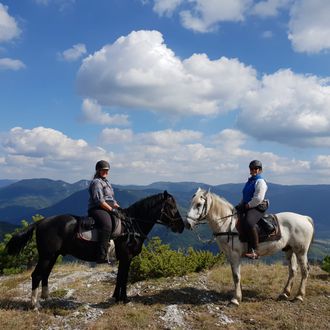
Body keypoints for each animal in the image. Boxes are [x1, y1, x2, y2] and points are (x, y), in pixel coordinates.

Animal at [5, 189, 184, 308]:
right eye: (172, 207)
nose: (182, 227)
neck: (131, 225)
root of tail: (41, 221)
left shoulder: (123, 259)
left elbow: (120, 277)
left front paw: (116, 297)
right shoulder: (126, 258)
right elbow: (124, 278)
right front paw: (124, 299)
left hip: (52, 256)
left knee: (45, 274)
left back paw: (46, 298)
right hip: (46, 256)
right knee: (36, 275)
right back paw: (35, 304)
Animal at [186, 188, 314, 306]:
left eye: (199, 204)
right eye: (191, 202)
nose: (187, 224)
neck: (227, 224)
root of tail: (305, 218)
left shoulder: (235, 255)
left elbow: (236, 276)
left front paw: (235, 299)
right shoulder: (230, 256)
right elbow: (236, 275)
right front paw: (239, 295)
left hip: (301, 251)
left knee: (305, 270)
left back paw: (299, 296)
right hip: (289, 250)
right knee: (292, 270)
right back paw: (284, 293)